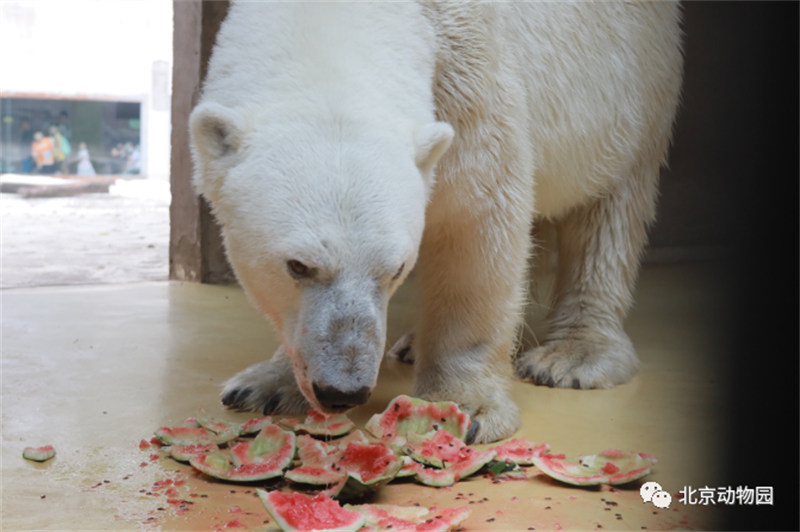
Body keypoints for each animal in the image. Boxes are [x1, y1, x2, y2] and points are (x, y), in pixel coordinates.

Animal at [188, 1, 680, 444]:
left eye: (396, 269)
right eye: (297, 265)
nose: (343, 390)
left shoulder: (469, 76)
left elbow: (476, 217)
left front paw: (460, 407)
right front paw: (266, 384)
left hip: (631, 95)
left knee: (609, 212)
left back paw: (572, 355)